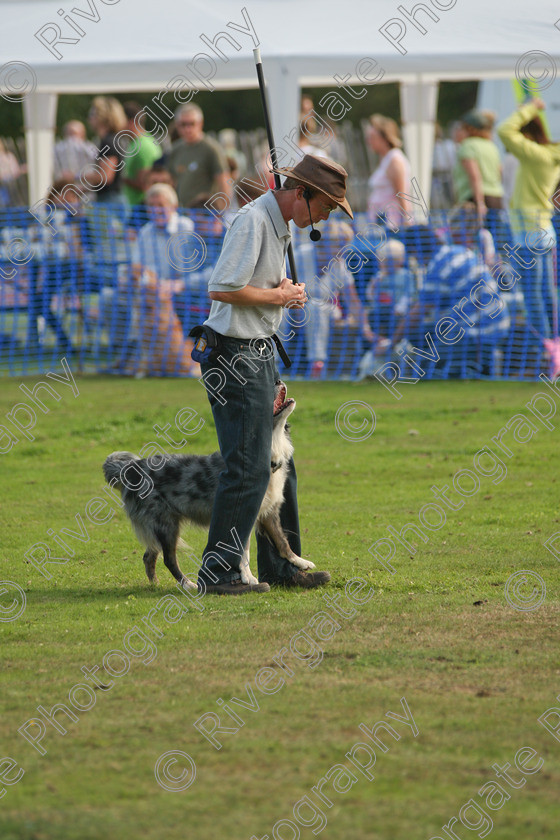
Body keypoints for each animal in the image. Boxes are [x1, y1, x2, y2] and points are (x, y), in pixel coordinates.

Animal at [103, 380, 312, 592]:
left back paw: (155, 584)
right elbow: (243, 550)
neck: (271, 452)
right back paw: (189, 584)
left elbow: (282, 541)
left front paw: (301, 562)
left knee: (149, 556)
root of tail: (132, 468)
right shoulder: (245, 510)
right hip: (166, 525)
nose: (277, 380)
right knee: (168, 559)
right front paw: (248, 577)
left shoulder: (269, 512)